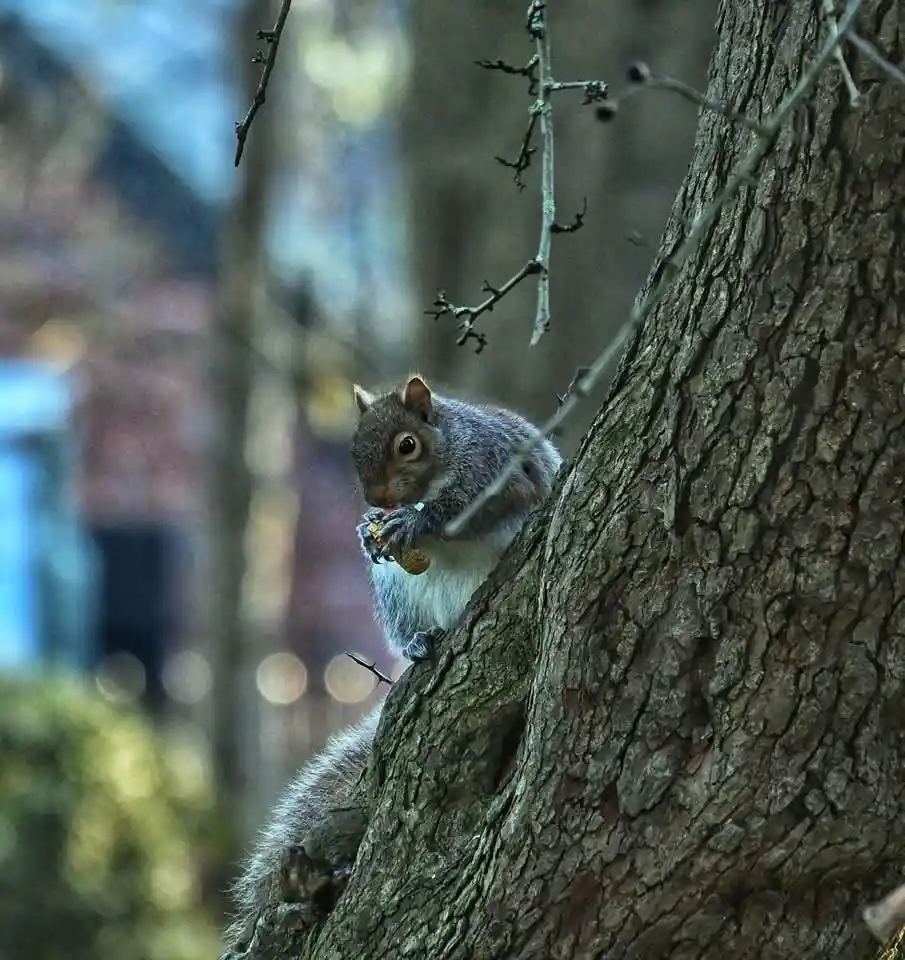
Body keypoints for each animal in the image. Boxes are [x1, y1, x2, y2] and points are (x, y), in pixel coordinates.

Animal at [352, 374, 563, 662]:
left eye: (407, 445)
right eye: (354, 450)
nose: (376, 500)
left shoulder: (494, 466)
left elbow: (465, 511)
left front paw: (412, 521)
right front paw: (367, 530)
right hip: (398, 596)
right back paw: (419, 639)